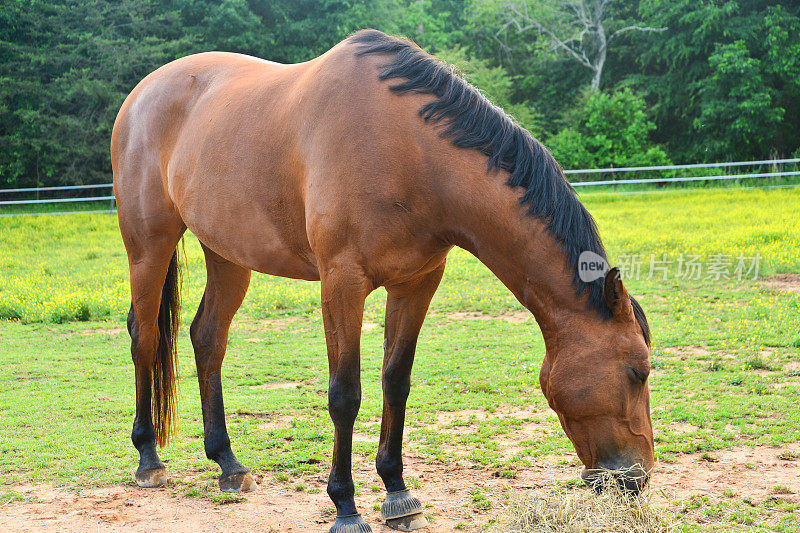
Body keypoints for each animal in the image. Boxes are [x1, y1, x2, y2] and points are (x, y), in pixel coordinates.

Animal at [111, 30, 648, 532]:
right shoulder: (341, 283)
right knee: (145, 337)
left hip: (227, 255)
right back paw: (149, 459)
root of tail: (141, 93)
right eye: (638, 371)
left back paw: (227, 463)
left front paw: (397, 491)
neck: (409, 151)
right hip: (149, 245)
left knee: (207, 339)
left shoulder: (416, 282)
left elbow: (396, 380)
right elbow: (345, 394)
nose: (637, 478)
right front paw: (345, 506)